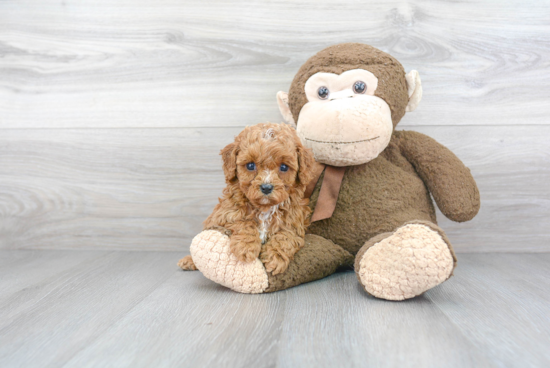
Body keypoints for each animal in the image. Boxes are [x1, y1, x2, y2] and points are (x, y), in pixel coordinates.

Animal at [181, 122, 316, 274]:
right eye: (250, 165)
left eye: (284, 167)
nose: (266, 187)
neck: (265, 209)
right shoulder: (224, 215)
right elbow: (242, 221)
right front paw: (246, 247)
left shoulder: (294, 223)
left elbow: (286, 237)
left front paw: (274, 258)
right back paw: (188, 261)